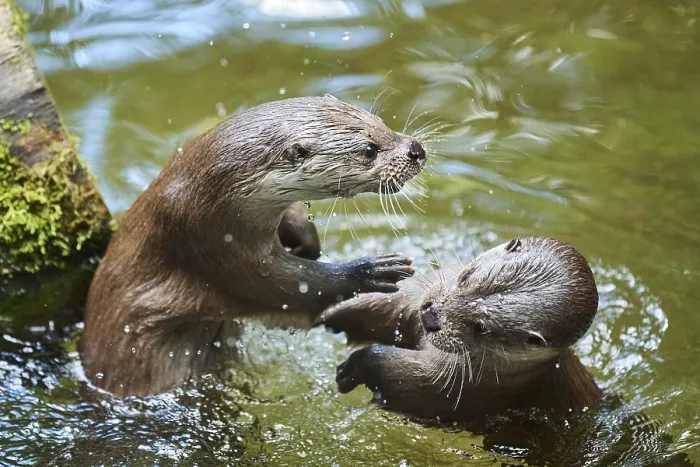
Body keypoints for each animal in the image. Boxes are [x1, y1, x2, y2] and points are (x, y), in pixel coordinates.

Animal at [81, 95, 428, 397]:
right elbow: (287, 287)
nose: (416, 149)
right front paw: (370, 271)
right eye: (369, 149)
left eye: (381, 122)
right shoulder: (212, 248)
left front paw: (307, 239)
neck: (204, 193)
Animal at [316, 237, 602, 421]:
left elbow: (404, 380)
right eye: (465, 277)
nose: (430, 316)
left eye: (482, 327)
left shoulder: (464, 389)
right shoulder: (418, 296)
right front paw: (329, 314)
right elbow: (390, 307)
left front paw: (355, 366)